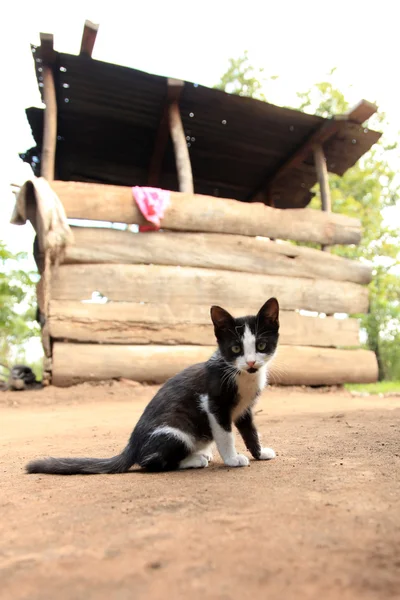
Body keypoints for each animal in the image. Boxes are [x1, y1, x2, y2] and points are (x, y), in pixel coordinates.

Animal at [26, 298, 280, 476]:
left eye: (261, 345)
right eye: (236, 349)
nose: (251, 363)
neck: (241, 377)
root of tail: (133, 445)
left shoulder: (245, 409)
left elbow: (250, 431)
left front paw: (260, 453)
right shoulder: (214, 403)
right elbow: (226, 435)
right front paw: (233, 459)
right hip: (176, 432)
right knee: (151, 462)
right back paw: (194, 460)